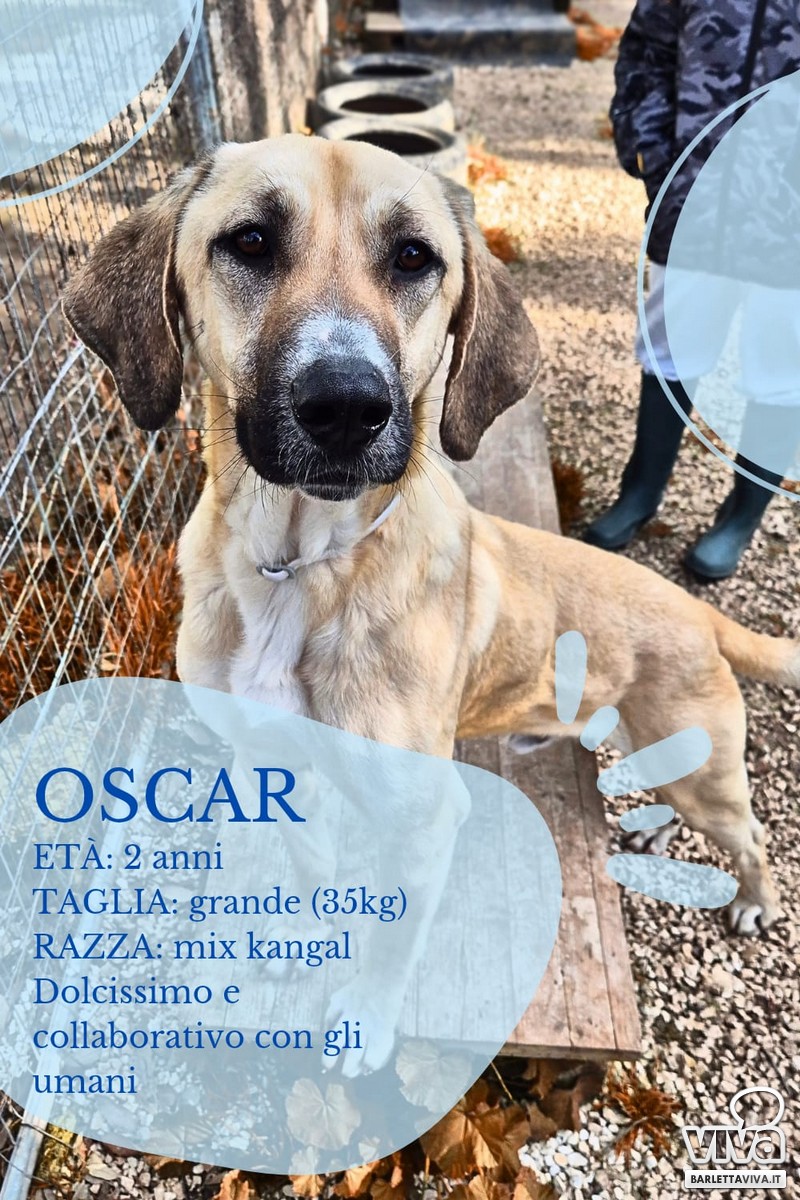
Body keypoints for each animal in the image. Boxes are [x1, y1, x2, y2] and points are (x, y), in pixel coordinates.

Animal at [63, 134, 798, 954]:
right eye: (249, 240)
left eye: (414, 257)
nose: (346, 408)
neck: (297, 565)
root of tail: (701, 614)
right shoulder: (272, 764)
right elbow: (312, 871)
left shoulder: (423, 827)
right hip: (669, 757)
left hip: (701, 773)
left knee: (751, 836)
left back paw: (754, 900)